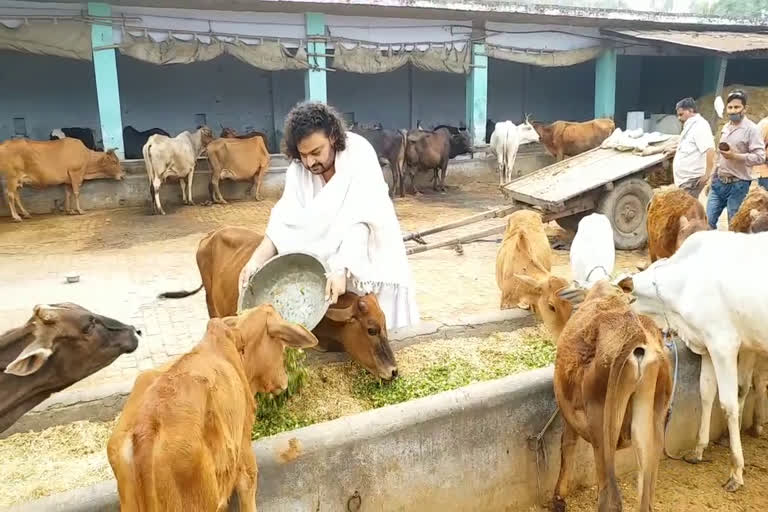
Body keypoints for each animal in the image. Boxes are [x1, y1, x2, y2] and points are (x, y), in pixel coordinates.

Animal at [552, 280, 672, 512]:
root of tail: (637, 334)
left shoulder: (568, 418)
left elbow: (566, 448)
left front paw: (558, 500)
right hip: (654, 417)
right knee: (647, 495)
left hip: (601, 426)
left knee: (610, 499)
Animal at [616, 230, 768, 490]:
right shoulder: (707, 347)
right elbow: (706, 394)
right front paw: (699, 449)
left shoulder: (723, 345)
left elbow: (728, 404)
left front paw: (736, 470)